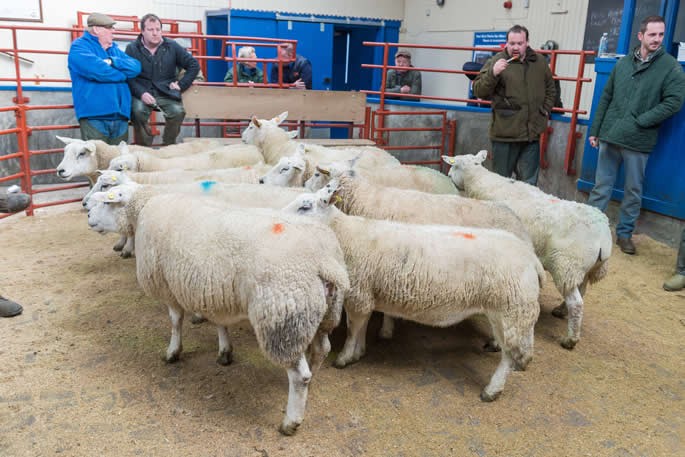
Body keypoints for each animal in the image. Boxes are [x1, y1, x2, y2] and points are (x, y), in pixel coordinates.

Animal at [88, 187, 350, 435]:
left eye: (107, 201)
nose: (88, 217)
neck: (143, 209)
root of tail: (324, 260)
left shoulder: (167, 286)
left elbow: (175, 321)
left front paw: (172, 352)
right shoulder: (214, 293)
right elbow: (220, 324)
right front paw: (224, 352)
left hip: (283, 317)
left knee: (298, 375)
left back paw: (291, 421)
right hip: (323, 311)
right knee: (322, 349)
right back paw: (313, 382)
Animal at [284, 182, 544, 402]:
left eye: (305, 206)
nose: (279, 221)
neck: (345, 235)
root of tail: (530, 256)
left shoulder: (358, 292)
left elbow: (352, 329)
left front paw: (345, 357)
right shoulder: (367, 293)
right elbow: (362, 325)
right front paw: (360, 351)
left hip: (512, 310)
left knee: (511, 355)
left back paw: (492, 389)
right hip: (505, 311)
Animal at [442, 151, 613, 349]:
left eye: (454, 165)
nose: (448, 176)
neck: (479, 180)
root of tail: (602, 236)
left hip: (566, 264)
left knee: (577, 303)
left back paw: (570, 340)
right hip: (583, 268)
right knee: (581, 291)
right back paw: (561, 311)